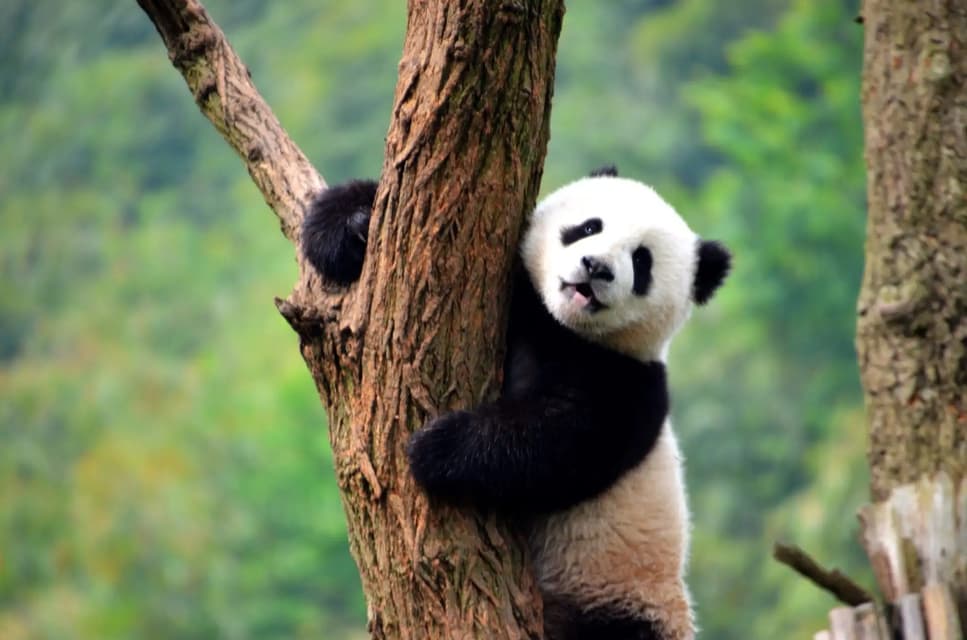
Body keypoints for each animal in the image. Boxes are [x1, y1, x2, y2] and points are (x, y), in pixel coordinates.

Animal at [301, 166, 730, 640]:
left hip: (621, 600)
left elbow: (564, 442)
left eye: (641, 262)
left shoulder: (627, 384)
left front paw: (438, 449)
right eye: (589, 227)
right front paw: (353, 226)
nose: (596, 267)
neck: (558, 324)